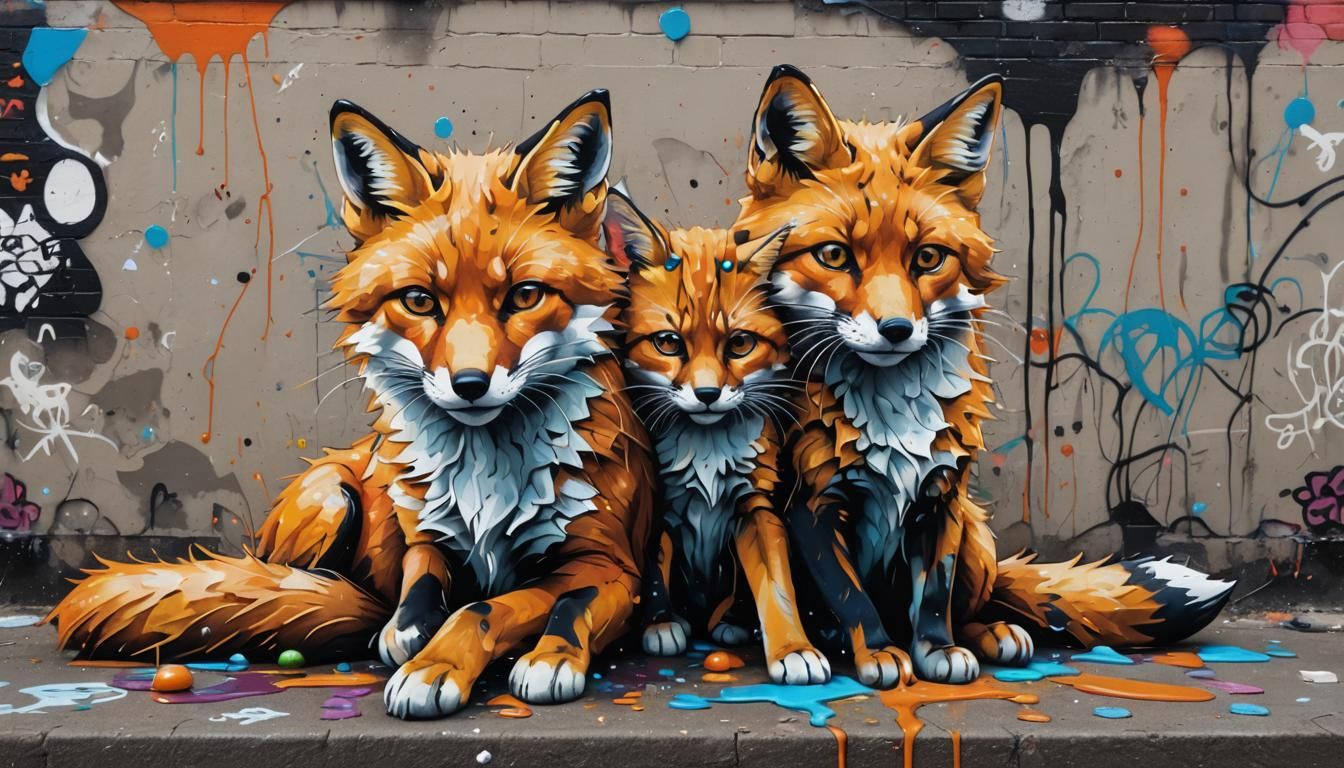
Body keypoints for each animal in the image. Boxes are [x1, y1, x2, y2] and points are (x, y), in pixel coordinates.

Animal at [46, 91, 657, 720]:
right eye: (420, 301)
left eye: (525, 296)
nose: (469, 384)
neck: (485, 476)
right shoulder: (427, 539)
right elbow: (422, 593)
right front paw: (413, 638)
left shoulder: (610, 567)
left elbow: (502, 606)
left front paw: (528, 656)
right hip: (331, 496)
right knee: (305, 585)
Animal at [604, 188, 829, 685]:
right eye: (668, 342)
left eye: (740, 344)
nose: (707, 395)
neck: (705, 453)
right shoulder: (660, 507)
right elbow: (654, 575)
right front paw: (660, 623)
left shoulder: (756, 507)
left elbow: (778, 588)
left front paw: (794, 649)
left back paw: (730, 621)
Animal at [731, 65, 1236, 687]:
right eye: (833, 256)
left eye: (927, 258)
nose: (897, 329)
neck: (890, 410)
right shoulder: (812, 506)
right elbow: (851, 597)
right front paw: (880, 652)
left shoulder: (942, 494)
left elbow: (934, 596)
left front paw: (937, 650)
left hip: (976, 531)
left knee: (983, 600)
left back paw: (992, 632)